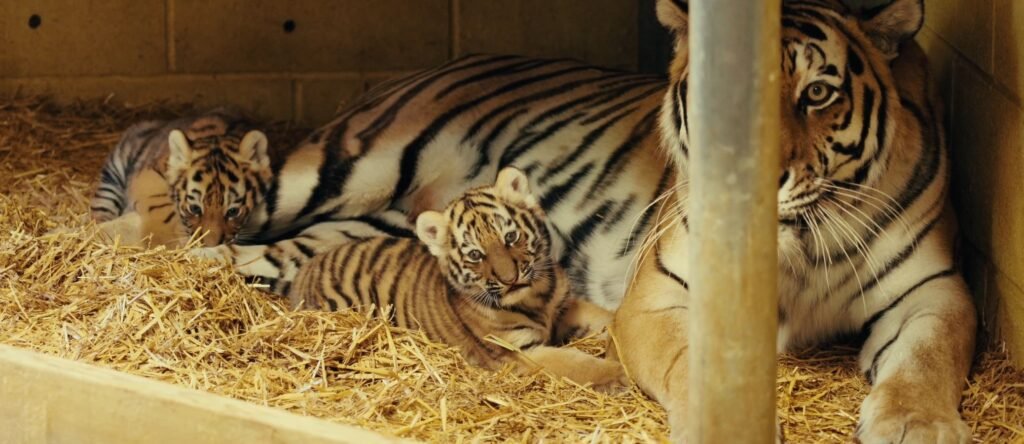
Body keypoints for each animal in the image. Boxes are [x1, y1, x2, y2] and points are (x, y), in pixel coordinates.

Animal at [89, 109, 273, 248]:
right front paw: (161, 239)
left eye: (233, 211)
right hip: (115, 170)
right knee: (100, 206)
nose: (210, 245)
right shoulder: (150, 172)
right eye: (195, 209)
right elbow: (159, 203)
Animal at [288, 167, 624, 390]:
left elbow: (602, 316)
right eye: (475, 255)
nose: (510, 279)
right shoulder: (520, 351)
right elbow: (573, 363)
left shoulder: (565, 308)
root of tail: (304, 271)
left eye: (510, 237)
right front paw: (616, 374)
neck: (537, 297)